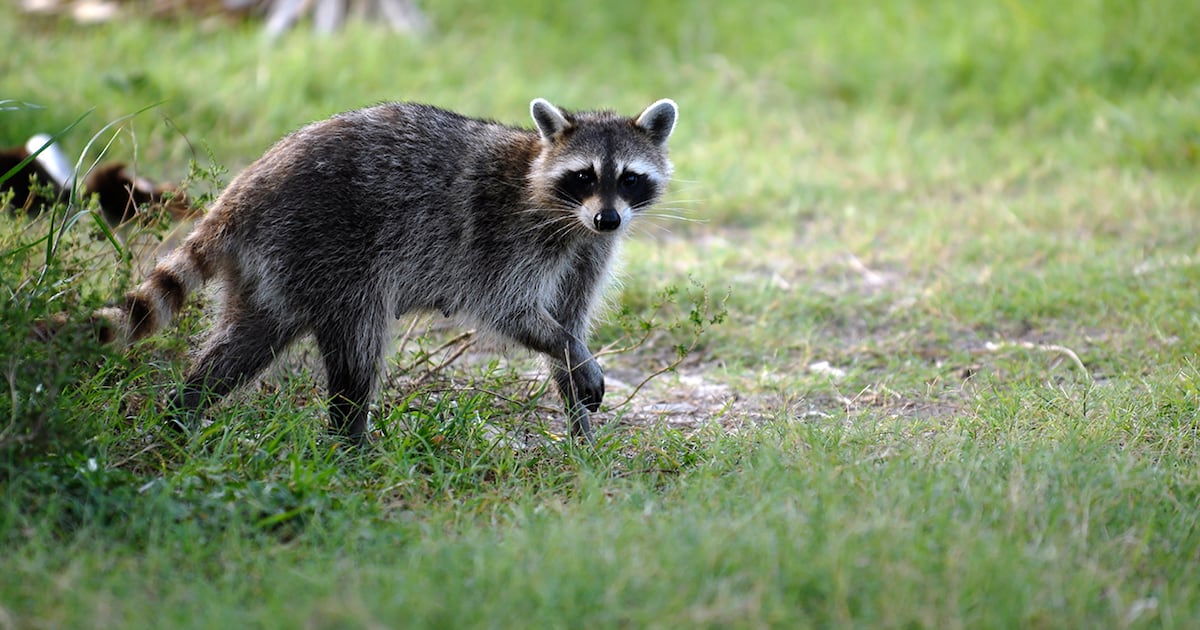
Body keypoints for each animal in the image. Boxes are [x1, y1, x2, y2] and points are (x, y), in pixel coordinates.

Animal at [101, 97, 679, 444]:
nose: (609, 218)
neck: (566, 212)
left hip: (275, 268)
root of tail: (247, 186)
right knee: (359, 348)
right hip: (329, 247)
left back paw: (183, 409)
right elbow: (511, 310)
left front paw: (580, 425)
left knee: (244, 342)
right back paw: (350, 440)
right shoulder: (505, 237)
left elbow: (569, 319)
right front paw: (573, 356)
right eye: (584, 176)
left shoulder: (587, 252)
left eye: (629, 178)